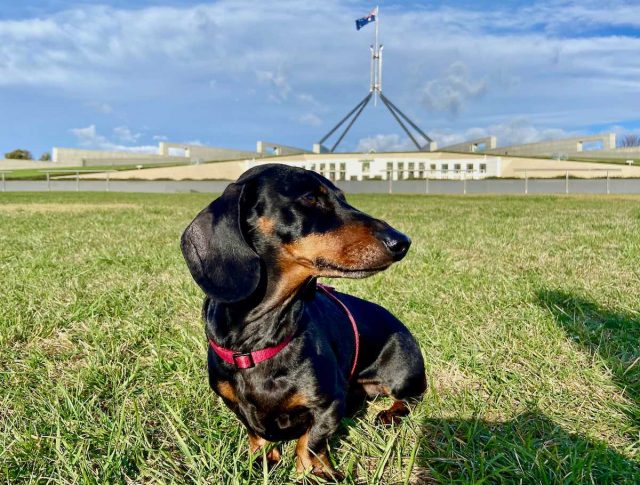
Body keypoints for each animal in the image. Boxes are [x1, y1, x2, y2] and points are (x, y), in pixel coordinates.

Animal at [180, 164, 424, 478]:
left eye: (342, 197)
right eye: (310, 198)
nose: (402, 242)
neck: (258, 338)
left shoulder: (328, 404)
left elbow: (309, 443)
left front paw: (315, 473)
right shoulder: (235, 405)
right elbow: (256, 435)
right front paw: (262, 461)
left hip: (403, 377)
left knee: (410, 399)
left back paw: (389, 414)